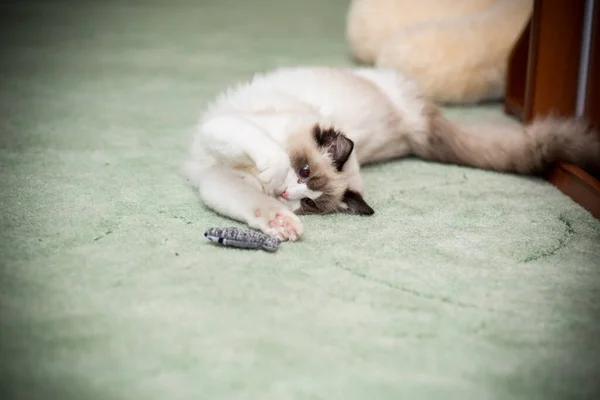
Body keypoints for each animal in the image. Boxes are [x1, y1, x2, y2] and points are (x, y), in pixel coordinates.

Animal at [183, 66, 600, 241]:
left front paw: (283, 223)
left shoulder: (220, 177)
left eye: (311, 202)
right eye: (301, 170)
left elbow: (257, 206)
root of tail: (417, 128)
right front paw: (272, 179)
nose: (287, 193)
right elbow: (266, 159)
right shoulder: (225, 149)